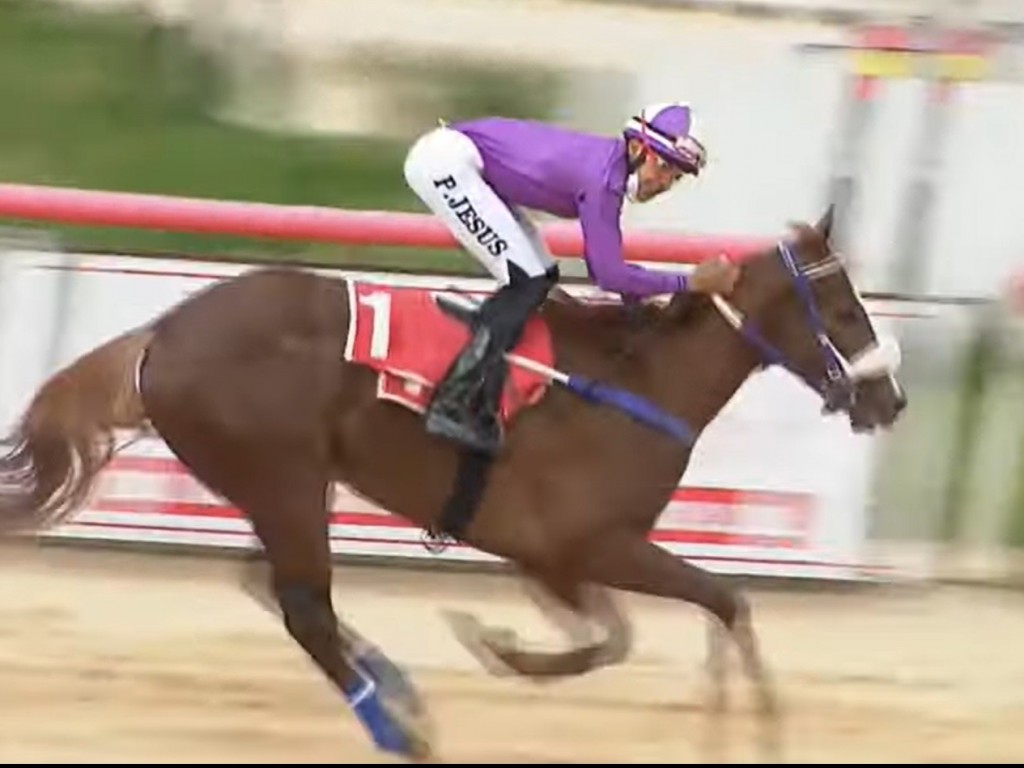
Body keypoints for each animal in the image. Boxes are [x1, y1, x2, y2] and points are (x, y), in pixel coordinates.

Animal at [0, 205, 909, 765]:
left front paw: (498, 643)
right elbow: (713, 605)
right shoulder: (590, 544)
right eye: (846, 309)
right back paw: (402, 729)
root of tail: (162, 333)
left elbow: (624, 634)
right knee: (303, 607)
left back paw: (402, 697)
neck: (641, 382)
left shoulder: (553, 560)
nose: (890, 399)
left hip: (283, 485)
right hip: (283, 475)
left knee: (273, 583)